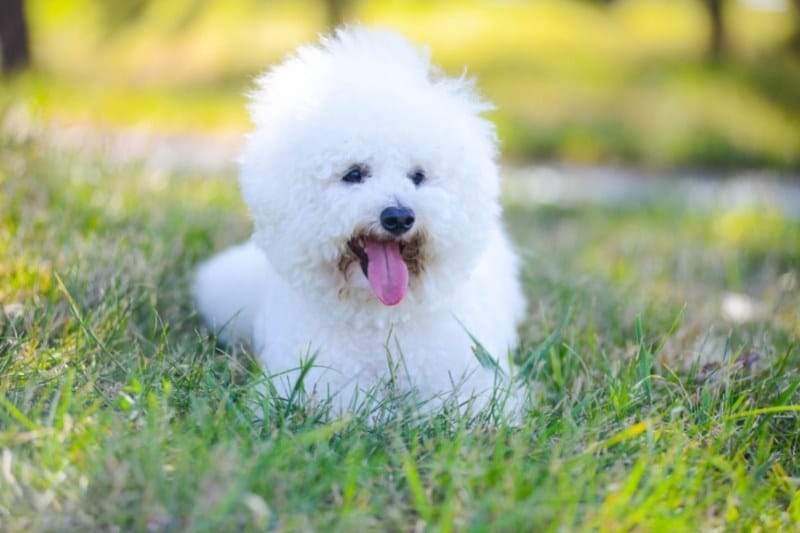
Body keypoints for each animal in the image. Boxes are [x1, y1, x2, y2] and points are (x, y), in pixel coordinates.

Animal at [194, 26, 528, 412]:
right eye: (354, 174)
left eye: (418, 176)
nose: (399, 217)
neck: (378, 319)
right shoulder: (313, 382)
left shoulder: (470, 382)